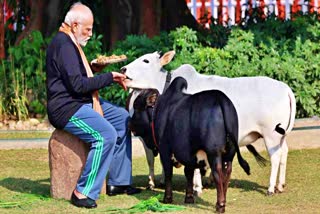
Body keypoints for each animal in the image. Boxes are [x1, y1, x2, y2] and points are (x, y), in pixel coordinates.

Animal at [122, 50, 296, 196]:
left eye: (146, 60)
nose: (123, 69)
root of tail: (285, 89)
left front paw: (197, 188)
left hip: (271, 135)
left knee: (275, 156)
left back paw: (271, 188)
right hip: (279, 137)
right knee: (284, 153)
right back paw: (280, 185)